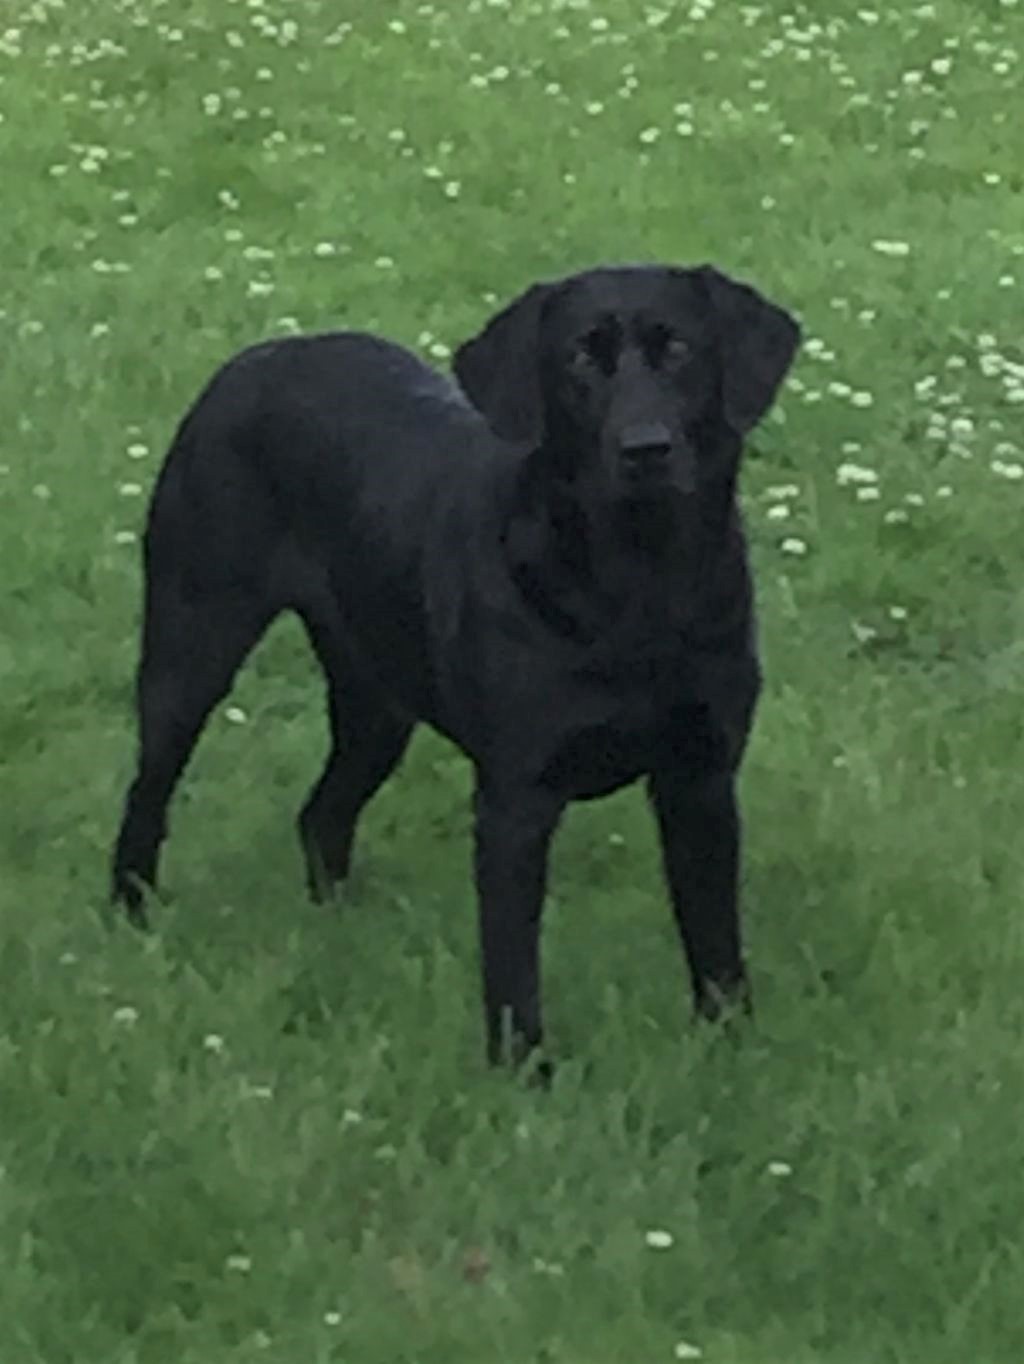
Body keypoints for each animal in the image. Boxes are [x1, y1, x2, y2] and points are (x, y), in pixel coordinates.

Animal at [111, 263, 801, 1063]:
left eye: (680, 348)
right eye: (579, 358)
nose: (645, 449)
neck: (637, 591)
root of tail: (253, 360)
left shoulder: (702, 779)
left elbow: (716, 941)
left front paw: (731, 1047)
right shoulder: (515, 802)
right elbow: (512, 966)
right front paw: (524, 1072)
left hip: (377, 706)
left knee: (320, 814)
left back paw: (340, 930)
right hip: (191, 648)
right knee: (149, 790)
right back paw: (130, 912)